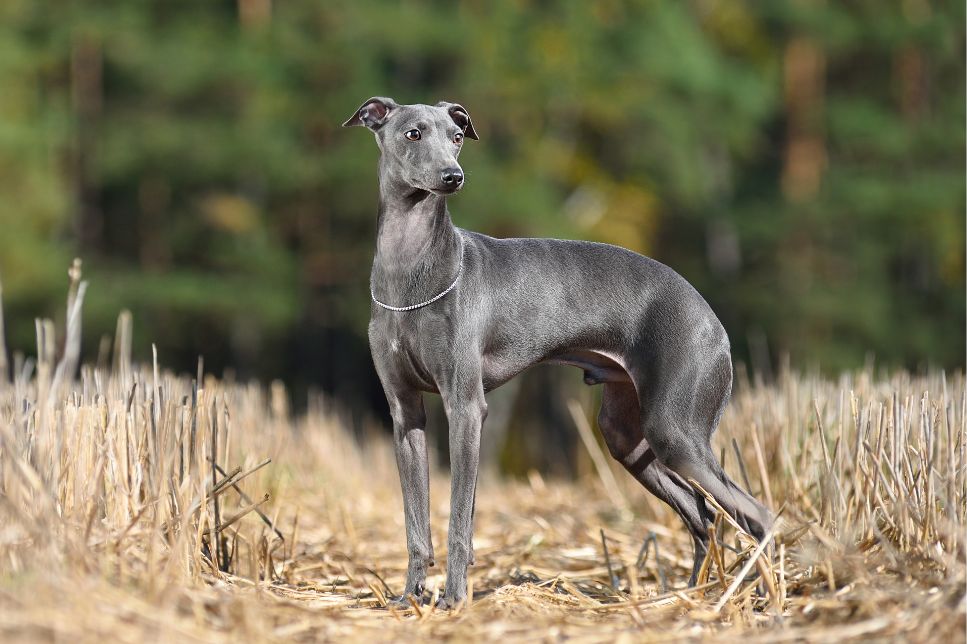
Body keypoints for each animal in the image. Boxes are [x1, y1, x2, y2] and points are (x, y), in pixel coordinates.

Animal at [342, 97, 772, 608]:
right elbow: (415, 523)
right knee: (700, 512)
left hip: (676, 431)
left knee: (756, 513)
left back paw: (766, 598)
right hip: (628, 438)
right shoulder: (405, 413)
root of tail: (712, 319)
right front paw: (410, 597)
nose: (453, 176)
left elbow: (460, 520)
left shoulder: (465, 407)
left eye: (457, 136)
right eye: (413, 133)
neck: (409, 272)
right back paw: (690, 598)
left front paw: (453, 599)